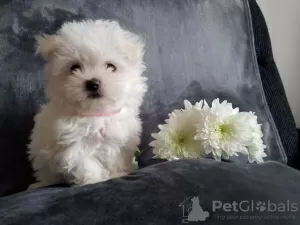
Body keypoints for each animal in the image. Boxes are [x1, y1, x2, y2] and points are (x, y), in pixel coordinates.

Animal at [27, 19, 147, 188]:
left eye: (111, 66)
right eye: (74, 67)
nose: (93, 83)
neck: (95, 114)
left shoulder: (119, 140)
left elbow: (116, 157)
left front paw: (118, 173)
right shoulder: (73, 143)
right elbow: (84, 162)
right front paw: (94, 179)